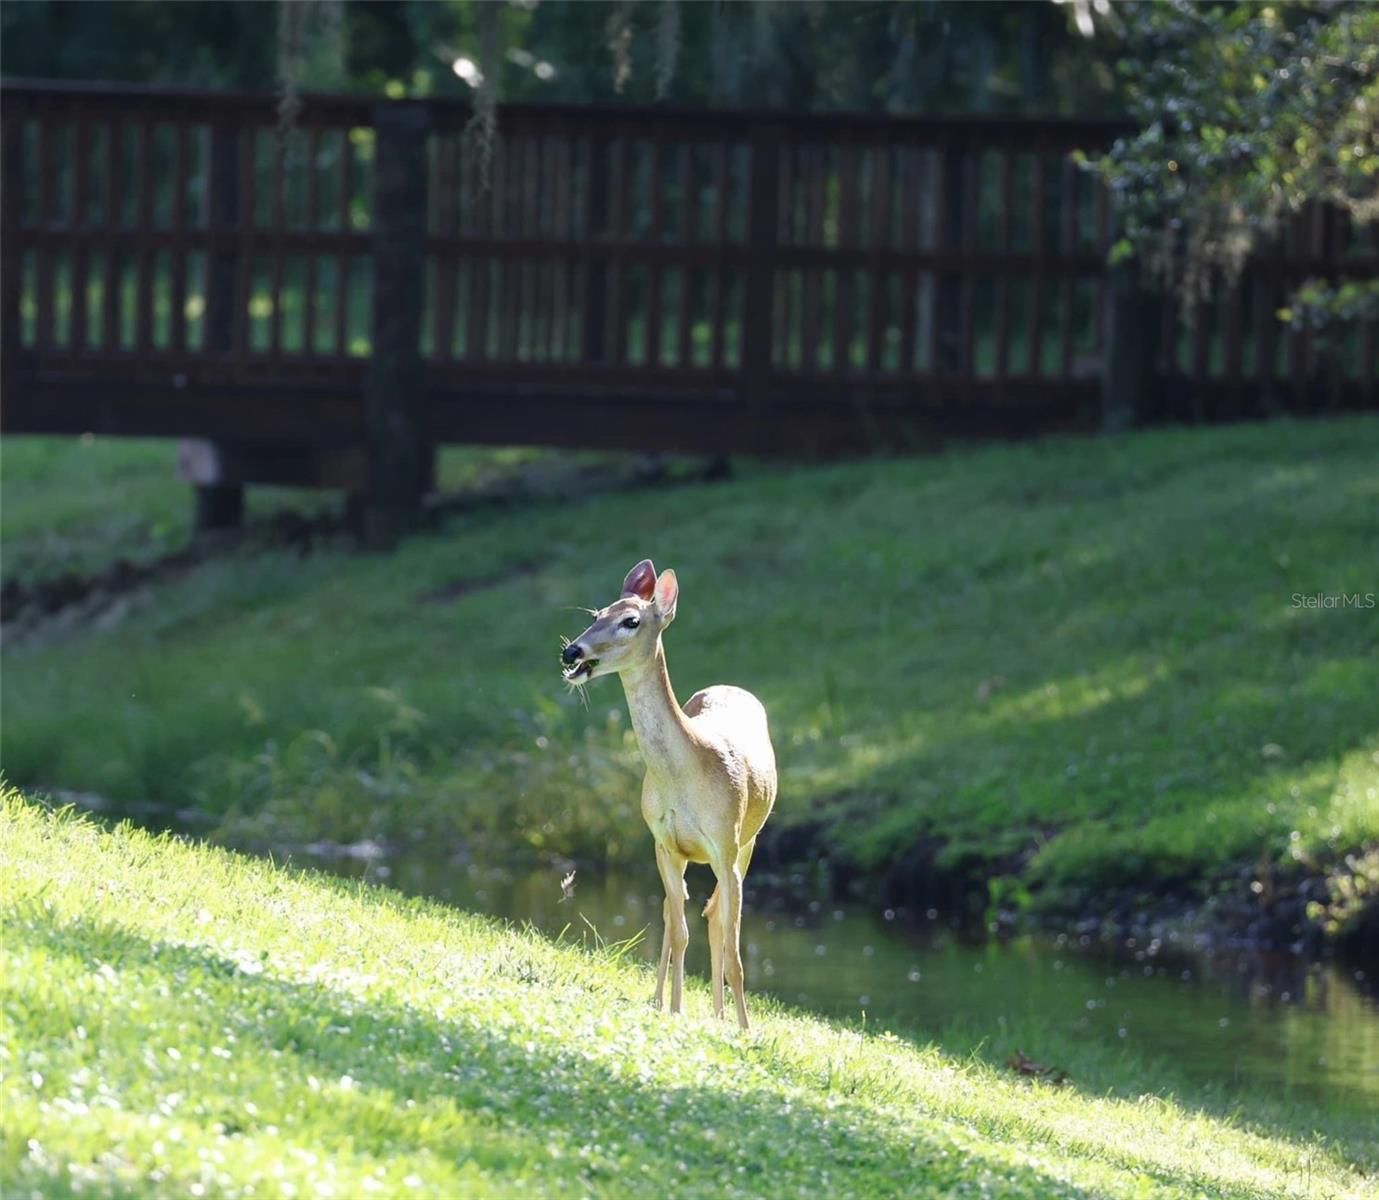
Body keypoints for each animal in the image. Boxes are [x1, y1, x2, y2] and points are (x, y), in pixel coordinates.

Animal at [559, 560, 777, 1026]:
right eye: (596, 614)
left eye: (631, 620)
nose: (573, 652)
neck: (686, 775)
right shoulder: (663, 842)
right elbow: (678, 930)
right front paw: (673, 1008)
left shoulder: (726, 843)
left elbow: (734, 949)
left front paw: (746, 1029)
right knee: (680, 913)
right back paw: (672, 1003)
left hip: (749, 841)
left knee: (717, 918)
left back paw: (722, 1015)